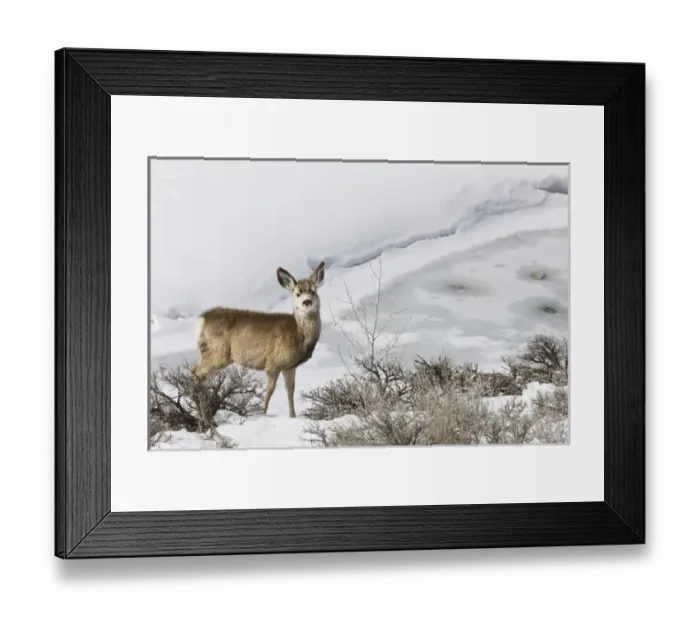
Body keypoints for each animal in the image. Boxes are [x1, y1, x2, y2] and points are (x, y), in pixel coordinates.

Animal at [192, 261, 325, 418]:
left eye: (313, 291)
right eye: (297, 293)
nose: (307, 302)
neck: (298, 335)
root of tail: (202, 319)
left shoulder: (289, 366)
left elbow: (290, 391)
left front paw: (292, 416)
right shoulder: (273, 363)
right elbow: (270, 390)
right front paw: (262, 413)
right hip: (217, 352)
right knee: (195, 372)